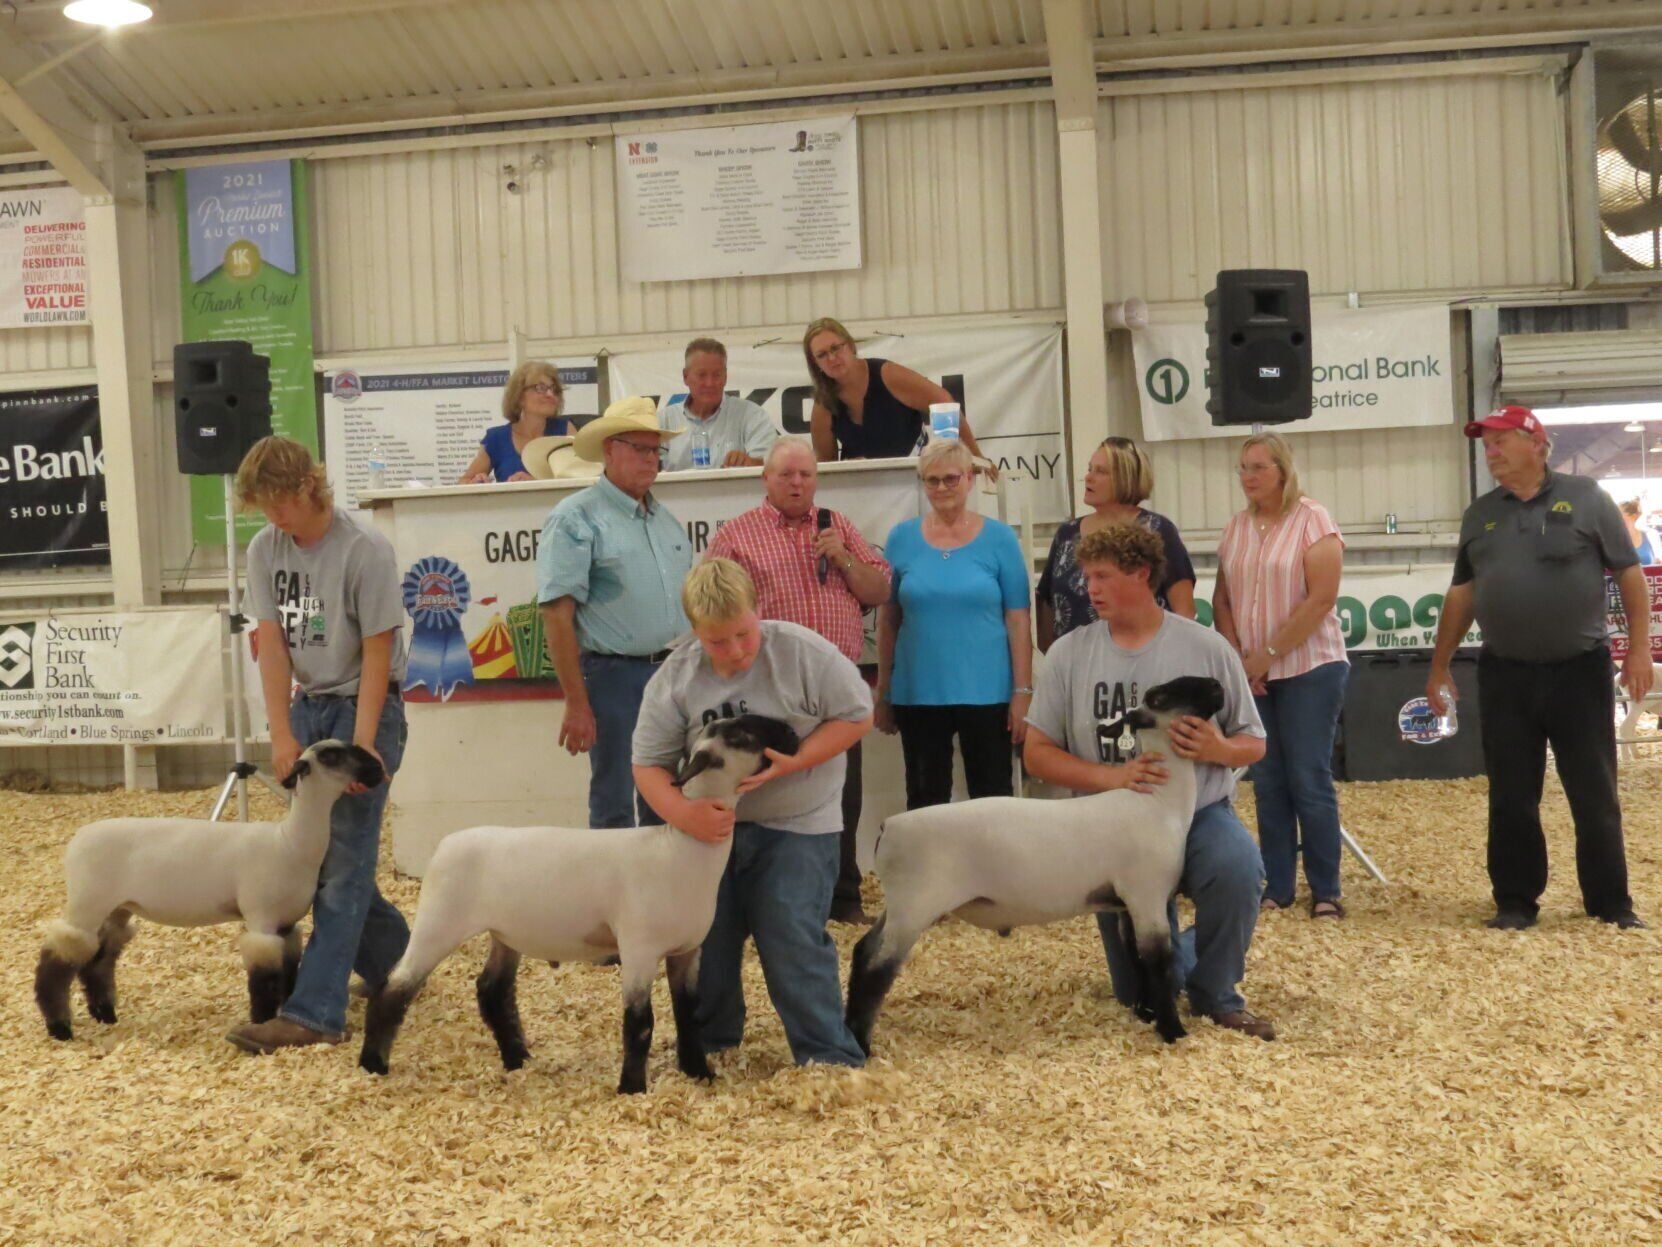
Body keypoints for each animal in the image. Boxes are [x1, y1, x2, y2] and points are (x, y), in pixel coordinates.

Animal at [34, 741, 383, 1044]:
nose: (378, 768)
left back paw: (105, 1014)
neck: (289, 842)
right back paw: (59, 1027)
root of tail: (77, 838)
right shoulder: (261, 920)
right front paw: (260, 1019)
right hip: (87, 903)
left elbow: (288, 974)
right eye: (331, 756)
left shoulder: (285, 925)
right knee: (57, 960)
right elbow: (264, 978)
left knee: (98, 960)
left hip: (116, 909)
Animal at [360, 718, 801, 1097]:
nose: (793, 733)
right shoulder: (638, 949)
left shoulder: (688, 950)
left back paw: (517, 1059)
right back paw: (372, 1065)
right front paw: (632, 1088)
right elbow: (640, 1023)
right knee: (394, 988)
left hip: (505, 934)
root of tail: (445, 844)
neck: (680, 849)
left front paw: (698, 1072)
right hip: (439, 922)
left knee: (491, 991)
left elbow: (688, 1013)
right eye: (742, 736)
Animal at [850, 685, 1229, 1057]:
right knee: (876, 966)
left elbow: (1135, 956)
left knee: (863, 949)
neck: (1159, 802)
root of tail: (888, 827)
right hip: (914, 906)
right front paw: (1172, 1030)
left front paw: (1146, 1013)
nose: (1218, 687)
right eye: (1162, 698)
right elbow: (1158, 962)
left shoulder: (1127, 904)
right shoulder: (1146, 896)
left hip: (899, 905)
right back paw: (861, 1044)